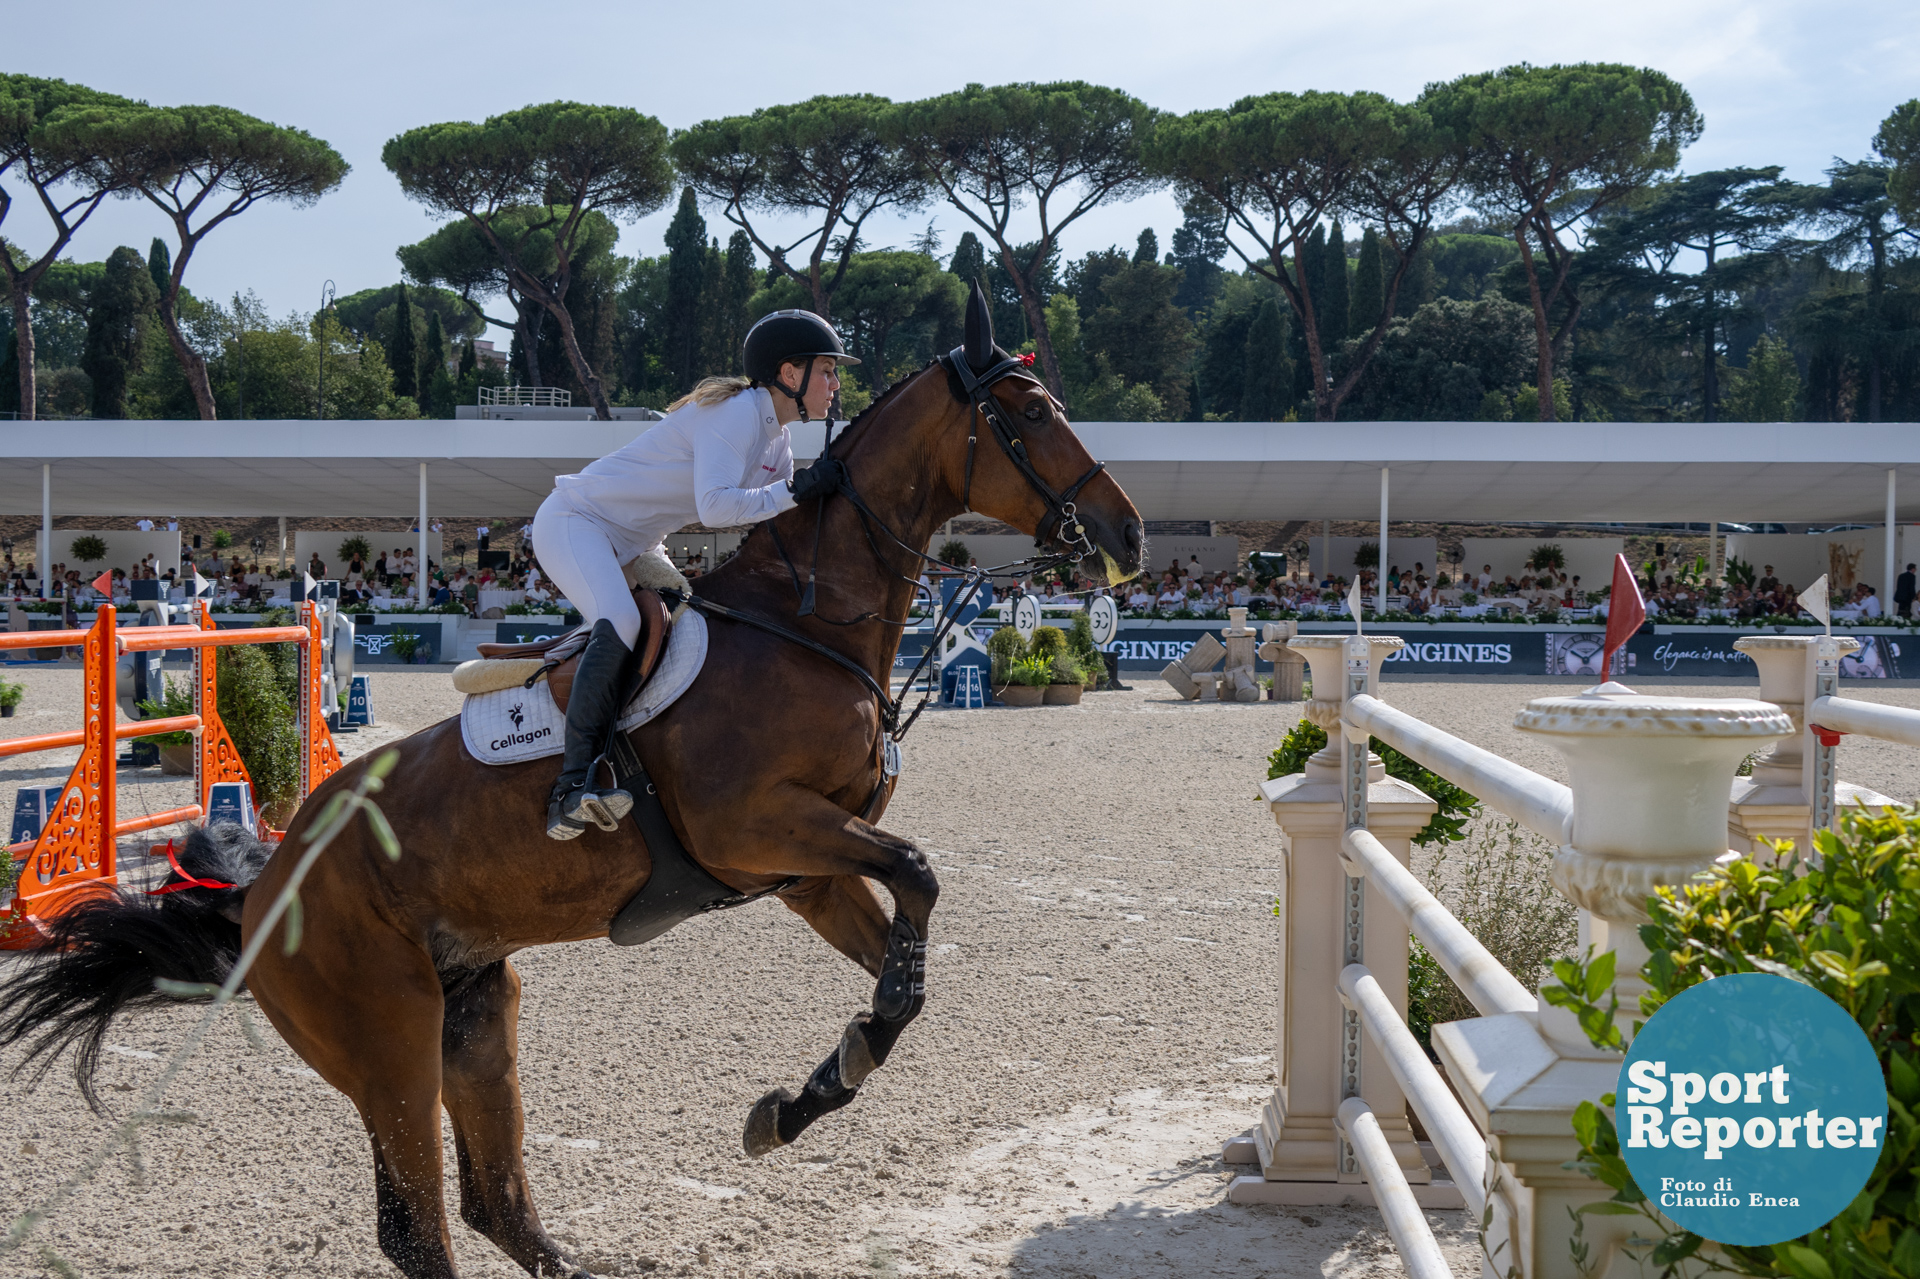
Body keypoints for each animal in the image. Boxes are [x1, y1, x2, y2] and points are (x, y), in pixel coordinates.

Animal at [0, 301, 1136, 1275]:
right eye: (1032, 413)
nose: (1124, 537)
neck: (807, 625)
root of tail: (264, 886)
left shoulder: (805, 867)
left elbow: (904, 966)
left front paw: (802, 1097)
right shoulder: (759, 826)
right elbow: (922, 876)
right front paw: (819, 1079)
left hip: (474, 1014)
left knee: (492, 1200)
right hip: (387, 1032)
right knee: (416, 1225)